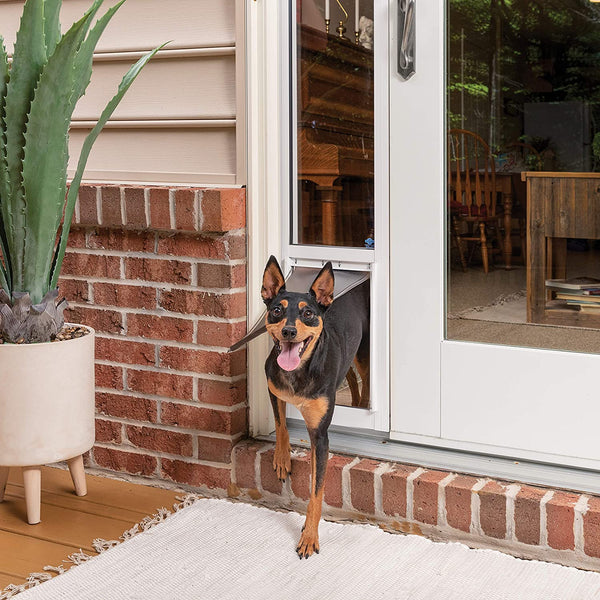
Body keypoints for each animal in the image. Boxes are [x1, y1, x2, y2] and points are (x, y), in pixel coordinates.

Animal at [260, 256, 368, 556]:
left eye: (308, 313)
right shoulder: (272, 387)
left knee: (364, 379)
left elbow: (316, 491)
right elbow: (280, 423)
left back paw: (364, 402)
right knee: (351, 377)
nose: (289, 330)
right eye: (276, 310)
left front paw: (309, 536)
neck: (298, 371)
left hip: (363, 352)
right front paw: (282, 458)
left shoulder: (320, 435)